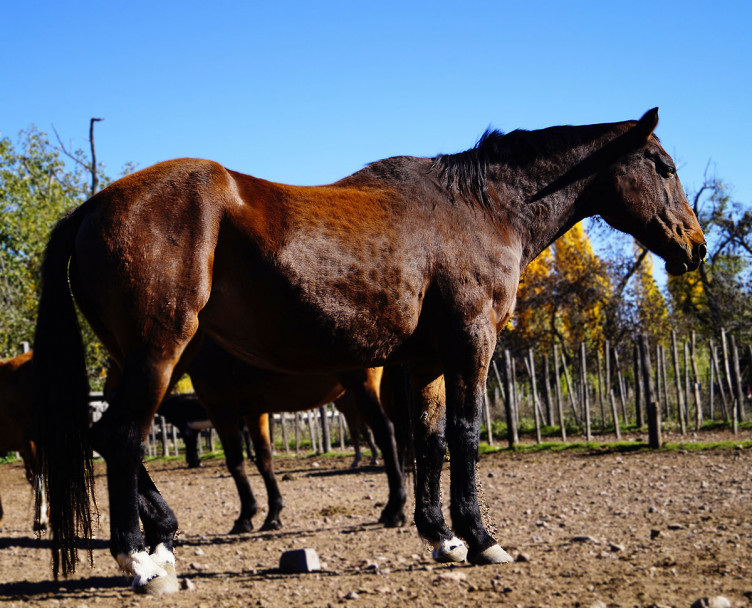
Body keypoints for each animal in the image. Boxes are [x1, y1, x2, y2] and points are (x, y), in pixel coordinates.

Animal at [33, 109, 704, 592]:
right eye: (663, 166)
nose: (694, 247)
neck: (478, 210)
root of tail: (92, 207)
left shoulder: (425, 361)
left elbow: (427, 440)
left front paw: (441, 536)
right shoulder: (471, 344)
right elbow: (463, 435)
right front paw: (481, 537)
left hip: (143, 360)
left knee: (104, 437)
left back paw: (163, 537)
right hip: (160, 353)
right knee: (121, 438)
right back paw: (141, 562)